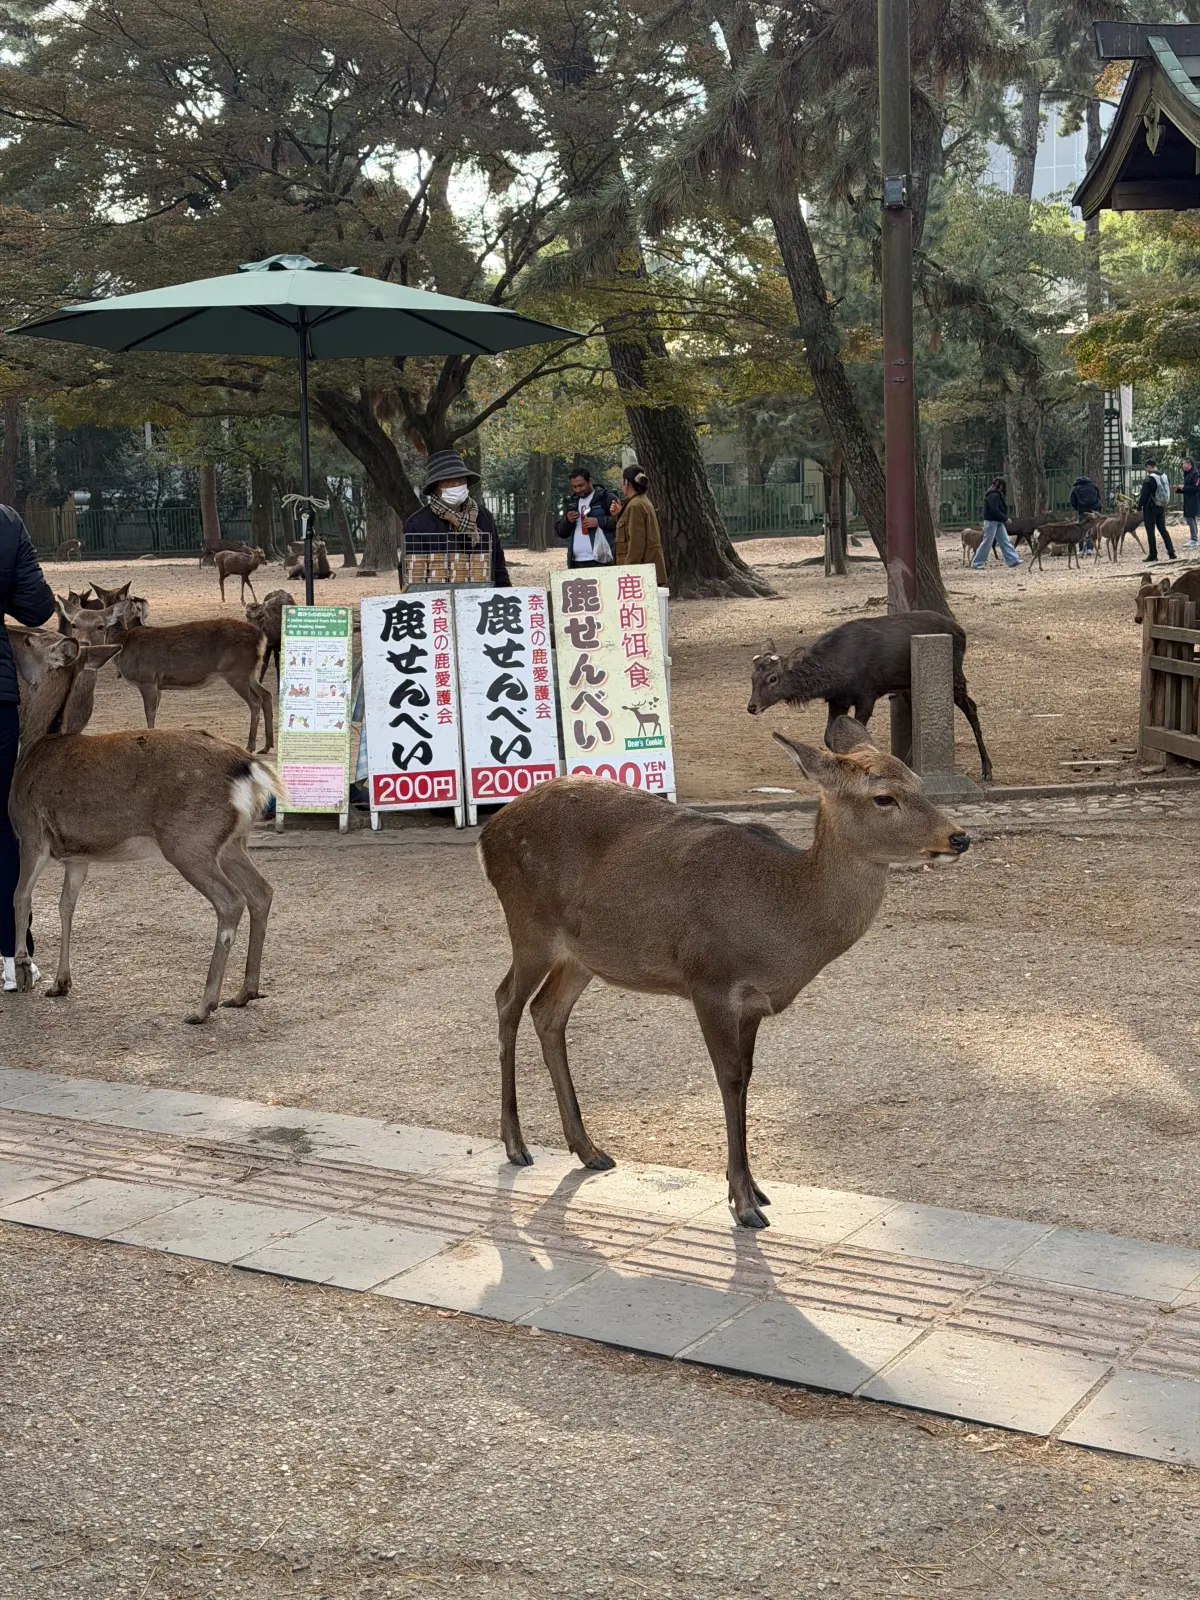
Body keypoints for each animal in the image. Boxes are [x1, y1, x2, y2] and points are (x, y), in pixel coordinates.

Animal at [7, 626, 281, 1024]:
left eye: (31, 639)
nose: (12, 632)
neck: (33, 746)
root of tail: (249, 769)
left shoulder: (30, 832)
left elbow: (21, 897)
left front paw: (24, 971)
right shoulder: (78, 854)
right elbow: (66, 905)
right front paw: (60, 983)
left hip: (189, 841)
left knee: (232, 900)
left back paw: (204, 1005)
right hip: (231, 842)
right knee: (262, 891)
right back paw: (245, 992)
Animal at [61, 599, 274, 752]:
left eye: (100, 626)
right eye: (74, 624)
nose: (83, 643)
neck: (124, 646)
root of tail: (261, 637)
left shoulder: (147, 678)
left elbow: (149, 712)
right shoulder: (158, 683)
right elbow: (154, 711)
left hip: (236, 671)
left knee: (255, 701)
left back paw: (251, 746)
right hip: (250, 672)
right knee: (266, 694)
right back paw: (267, 745)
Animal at [480, 719, 969, 1228]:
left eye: (919, 782)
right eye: (883, 797)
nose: (959, 837)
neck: (782, 928)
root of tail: (488, 832)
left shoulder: (752, 1002)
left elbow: (748, 1076)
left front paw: (756, 1190)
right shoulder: (709, 979)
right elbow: (729, 1077)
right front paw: (744, 1202)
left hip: (582, 954)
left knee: (547, 1011)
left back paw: (589, 1149)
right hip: (529, 925)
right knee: (506, 1000)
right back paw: (515, 1145)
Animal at [747, 611, 992, 780]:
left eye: (773, 678)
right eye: (752, 676)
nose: (752, 706)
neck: (835, 675)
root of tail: (962, 632)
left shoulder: (867, 694)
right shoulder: (837, 700)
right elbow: (829, 737)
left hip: (954, 673)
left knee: (971, 707)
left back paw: (987, 769)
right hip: (908, 686)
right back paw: (908, 764)